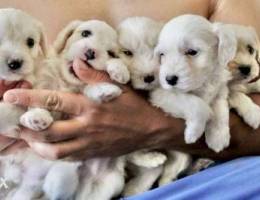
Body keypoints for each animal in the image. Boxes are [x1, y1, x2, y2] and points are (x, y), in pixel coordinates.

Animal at [154, 14, 238, 152]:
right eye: (162, 54)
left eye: (192, 52)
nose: (169, 79)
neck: (204, 81)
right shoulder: (160, 93)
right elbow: (197, 105)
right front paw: (193, 132)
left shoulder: (220, 90)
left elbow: (220, 110)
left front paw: (218, 136)